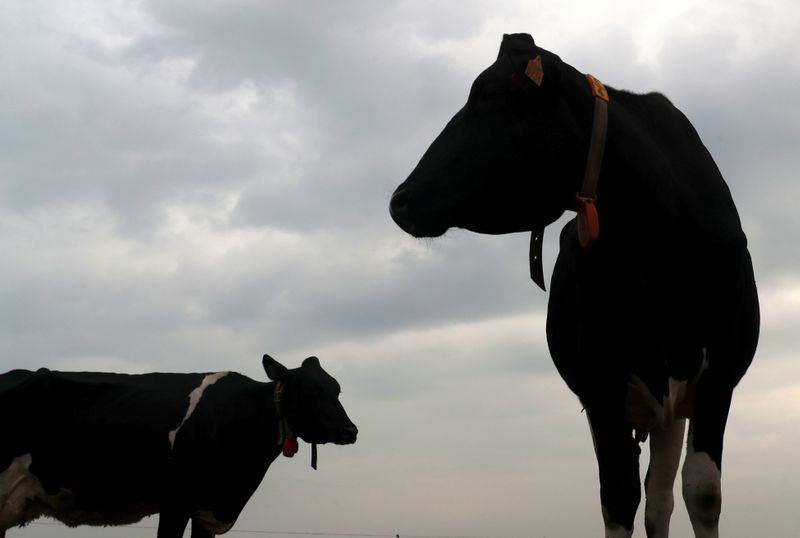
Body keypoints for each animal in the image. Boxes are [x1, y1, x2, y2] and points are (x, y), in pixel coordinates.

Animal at [390, 34, 760, 536]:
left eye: (489, 94)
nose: (398, 200)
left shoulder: (718, 376)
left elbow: (702, 492)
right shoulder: (600, 382)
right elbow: (618, 497)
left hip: (671, 405)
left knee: (661, 498)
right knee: (652, 497)